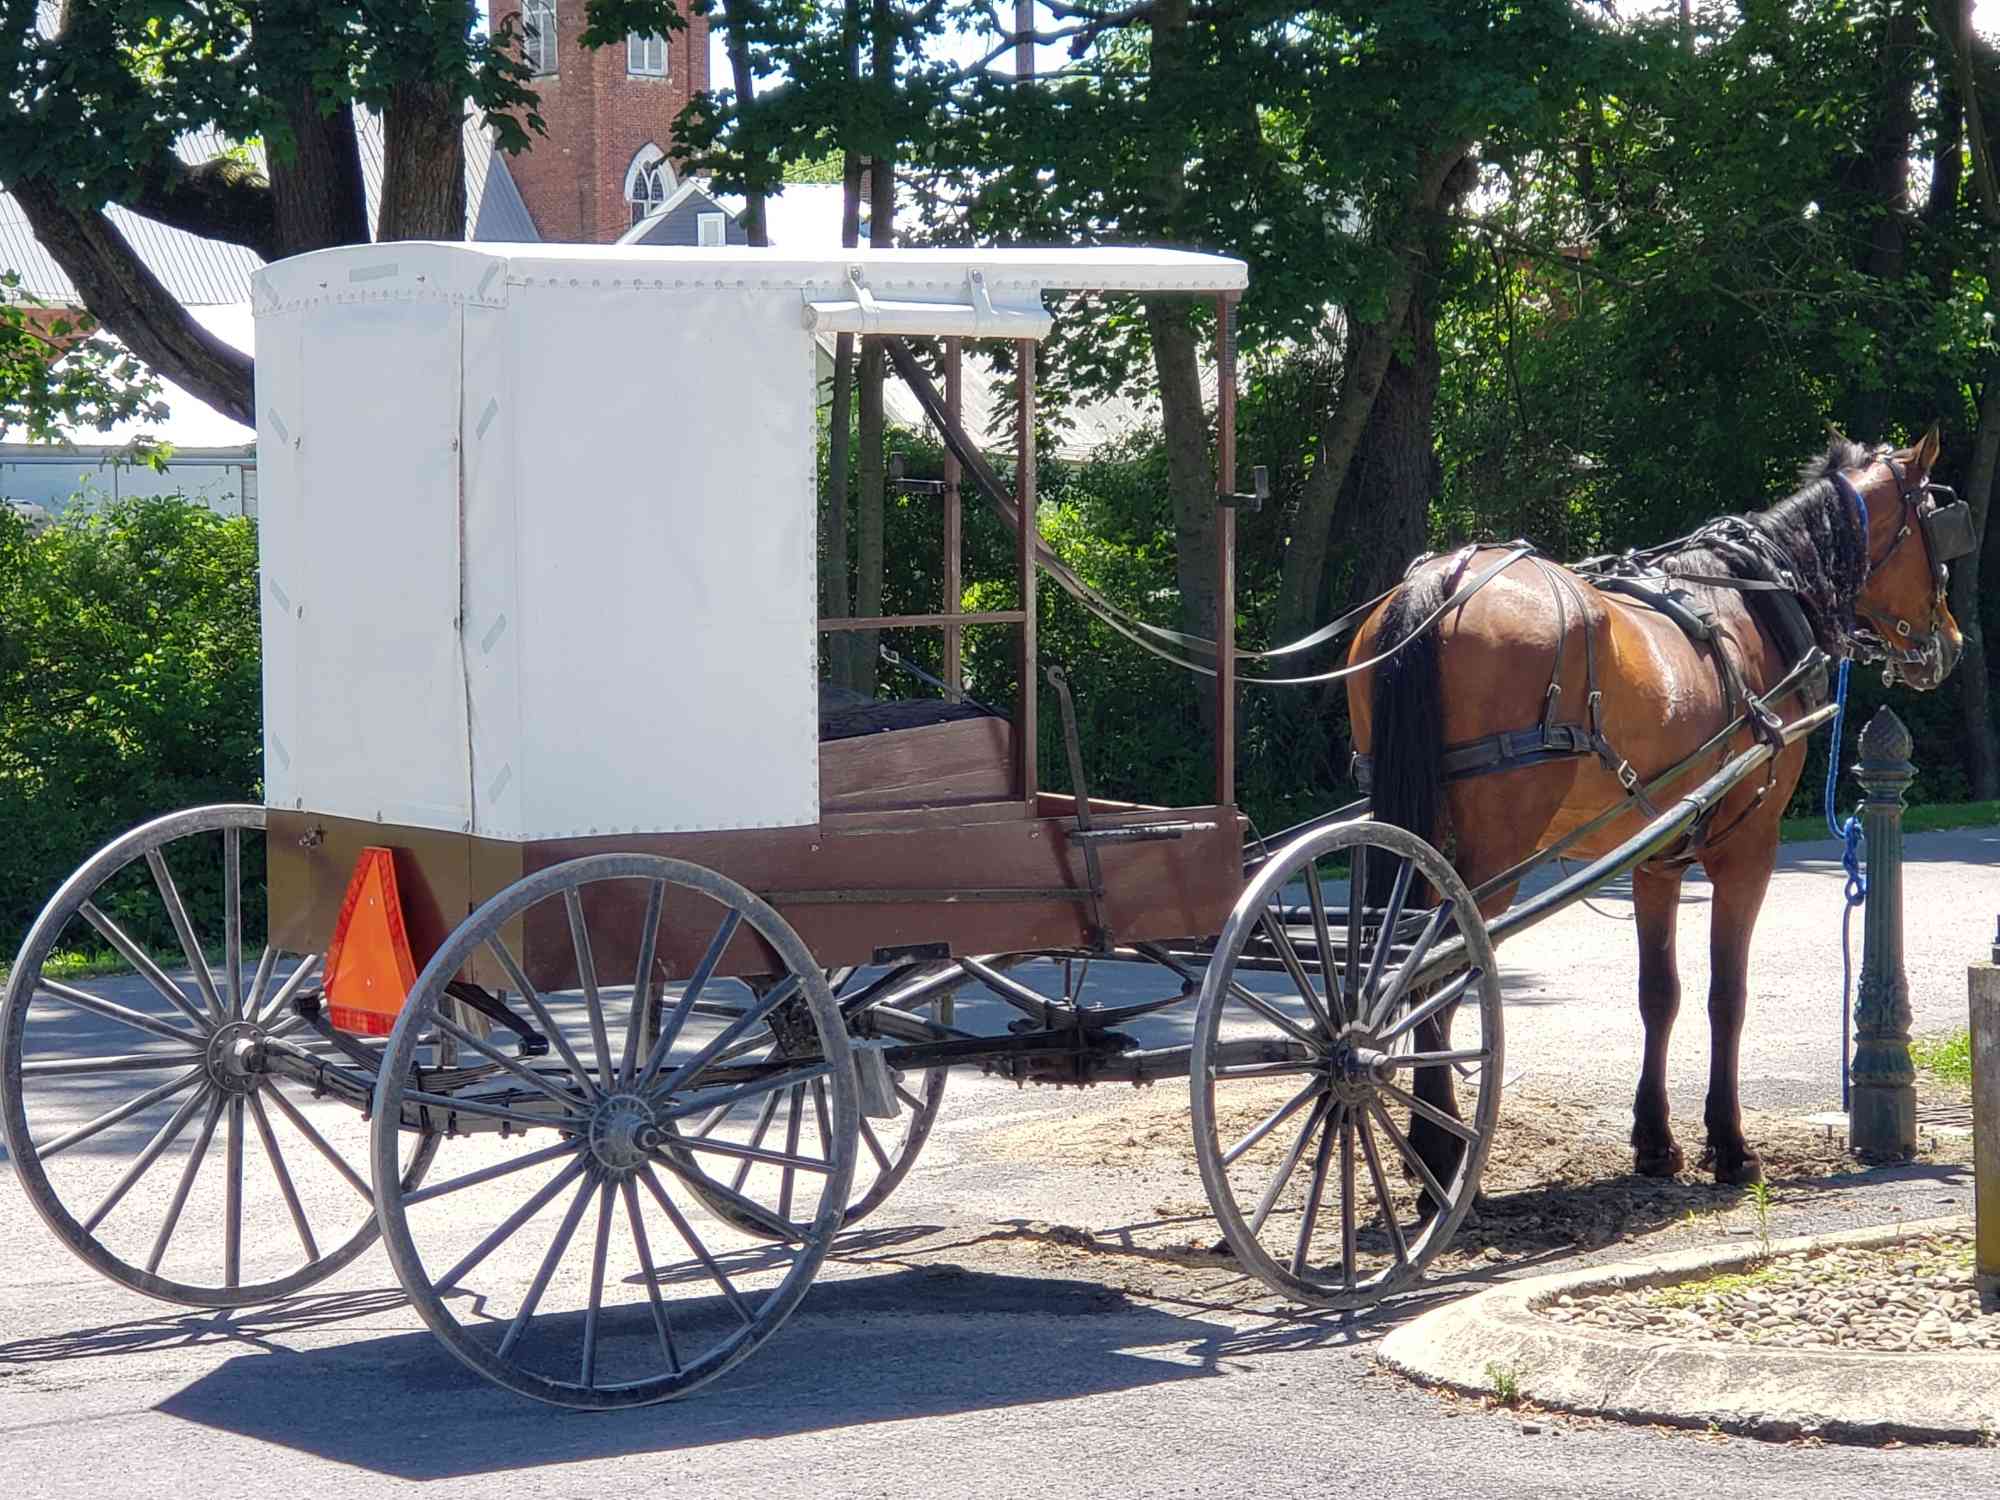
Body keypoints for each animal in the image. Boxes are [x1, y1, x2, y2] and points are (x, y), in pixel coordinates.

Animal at [1352, 428, 1960, 1192]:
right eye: (1934, 527)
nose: (1951, 642)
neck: (1762, 596)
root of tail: (1446, 578)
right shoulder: (1746, 848)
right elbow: (1727, 993)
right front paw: (1729, 1145)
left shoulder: (1657, 860)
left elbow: (1658, 993)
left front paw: (1654, 1141)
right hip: (1490, 860)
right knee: (1436, 971)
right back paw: (1441, 1149)